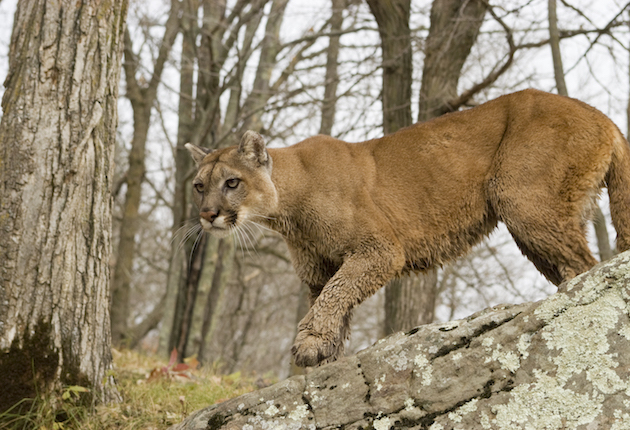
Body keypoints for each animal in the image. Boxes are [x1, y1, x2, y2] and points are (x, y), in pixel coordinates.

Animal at [185, 90, 630, 366]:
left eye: (232, 183)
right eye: (199, 186)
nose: (208, 214)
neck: (289, 209)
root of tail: (604, 116)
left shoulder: (380, 248)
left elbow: (336, 294)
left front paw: (308, 345)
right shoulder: (317, 270)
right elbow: (331, 300)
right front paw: (326, 355)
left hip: (521, 197)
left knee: (584, 265)